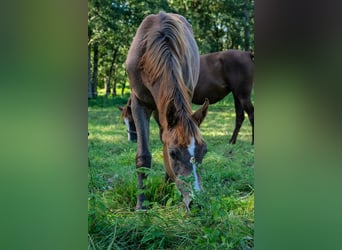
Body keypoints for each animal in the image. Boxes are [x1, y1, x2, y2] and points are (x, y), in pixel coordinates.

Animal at [120, 49, 254, 145]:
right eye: (124, 121)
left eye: (131, 120)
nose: (131, 139)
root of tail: (247, 54)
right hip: (237, 95)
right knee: (240, 117)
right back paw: (232, 141)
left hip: (243, 95)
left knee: (251, 113)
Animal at [125, 11, 208, 211]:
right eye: (173, 153)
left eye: (205, 151)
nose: (197, 201)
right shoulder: (139, 104)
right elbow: (143, 156)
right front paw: (141, 205)